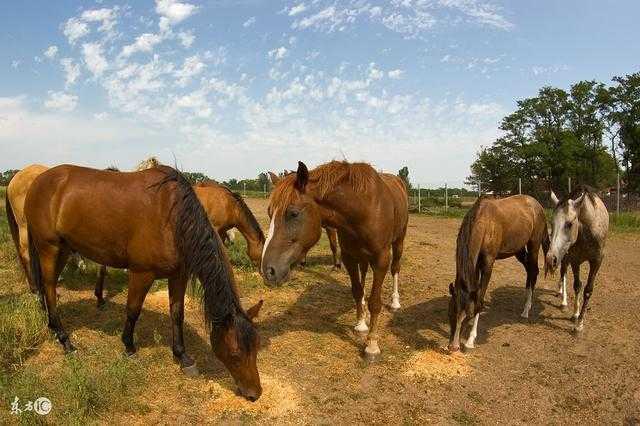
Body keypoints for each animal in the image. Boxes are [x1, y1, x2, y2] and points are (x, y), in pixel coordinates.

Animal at [19, 164, 262, 400]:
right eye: (235, 354)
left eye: (256, 348)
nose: (254, 394)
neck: (172, 217)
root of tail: (38, 181)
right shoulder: (141, 274)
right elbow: (133, 310)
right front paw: (128, 347)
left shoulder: (178, 275)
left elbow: (177, 313)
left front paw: (182, 356)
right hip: (49, 248)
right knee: (49, 287)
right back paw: (65, 340)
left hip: (64, 248)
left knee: (47, 287)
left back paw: (53, 327)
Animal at [258, 161, 404, 362]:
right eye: (269, 213)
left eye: (293, 213)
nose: (268, 271)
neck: (362, 209)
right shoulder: (349, 257)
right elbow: (357, 291)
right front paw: (360, 323)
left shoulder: (381, 259)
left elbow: (375, 302)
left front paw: (372, 346)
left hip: (398, 242)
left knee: (395, 268)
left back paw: (395, 302)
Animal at [448, 195, 548, 352]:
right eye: (451, 311)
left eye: (469, 315)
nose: (453, 347)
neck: (484, 222)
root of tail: (536, 204)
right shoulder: (477, 264)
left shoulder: (488, 265)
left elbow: (480, 299)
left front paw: (470, 340)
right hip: (518, 250)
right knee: (529, 270)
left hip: (534, 245)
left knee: (533, 270)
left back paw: (526, 310)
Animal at [544, 187, 608, 332]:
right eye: (552, 223)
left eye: (569, 224)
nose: (550, 259)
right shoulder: (575, 260)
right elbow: (577, 286)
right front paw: (576, 315)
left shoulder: (597, 261)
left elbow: (588, 290)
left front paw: (579, 324)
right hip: (564, 256)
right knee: (563, 273)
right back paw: (563, 301)